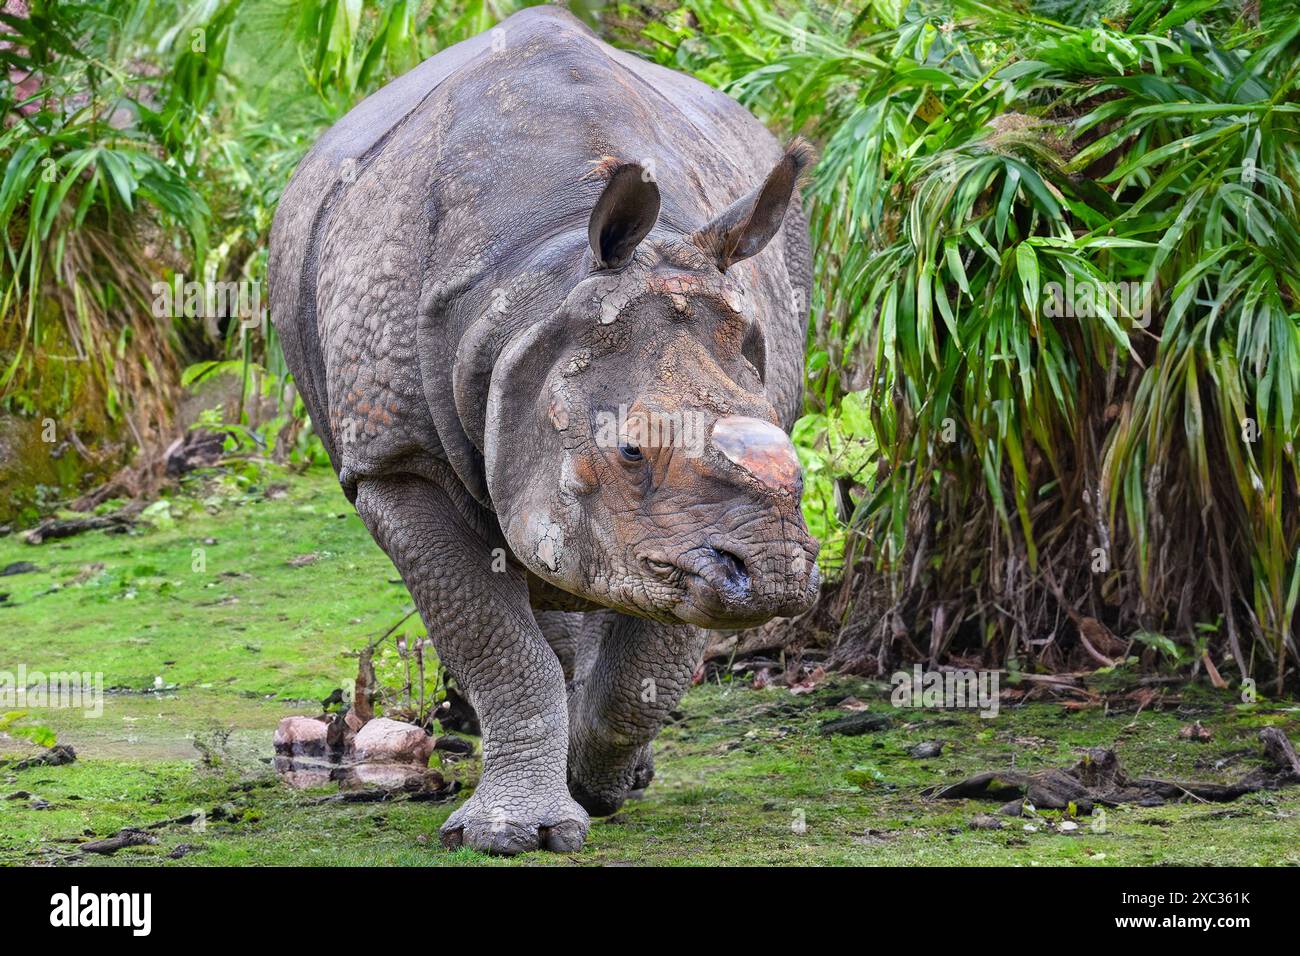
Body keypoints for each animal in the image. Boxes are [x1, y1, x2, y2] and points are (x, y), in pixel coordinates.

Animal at [269, 4, 819, 855]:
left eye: (786, 439)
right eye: (629, 448)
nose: (776, 575)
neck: (544, 282)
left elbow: (650, 650)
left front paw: (595, 784)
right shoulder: (397, 460)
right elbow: (494, 641)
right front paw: (512, 833)